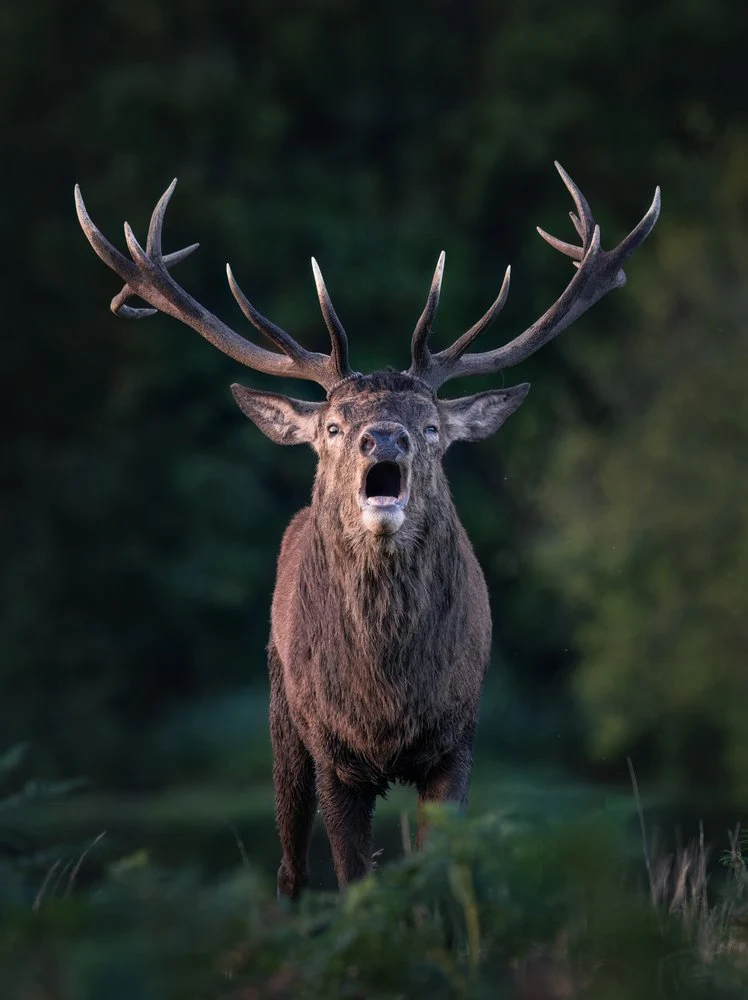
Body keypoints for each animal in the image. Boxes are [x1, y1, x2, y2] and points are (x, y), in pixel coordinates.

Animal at [75, 163, 659, 898]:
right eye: (332, 425)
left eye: (432, 425)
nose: (384, 436)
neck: (386, 703)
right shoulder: (331, 751)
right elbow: (357, 882)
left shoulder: (459, 738)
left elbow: (440, 874)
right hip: (279, 715)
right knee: (291, 868)